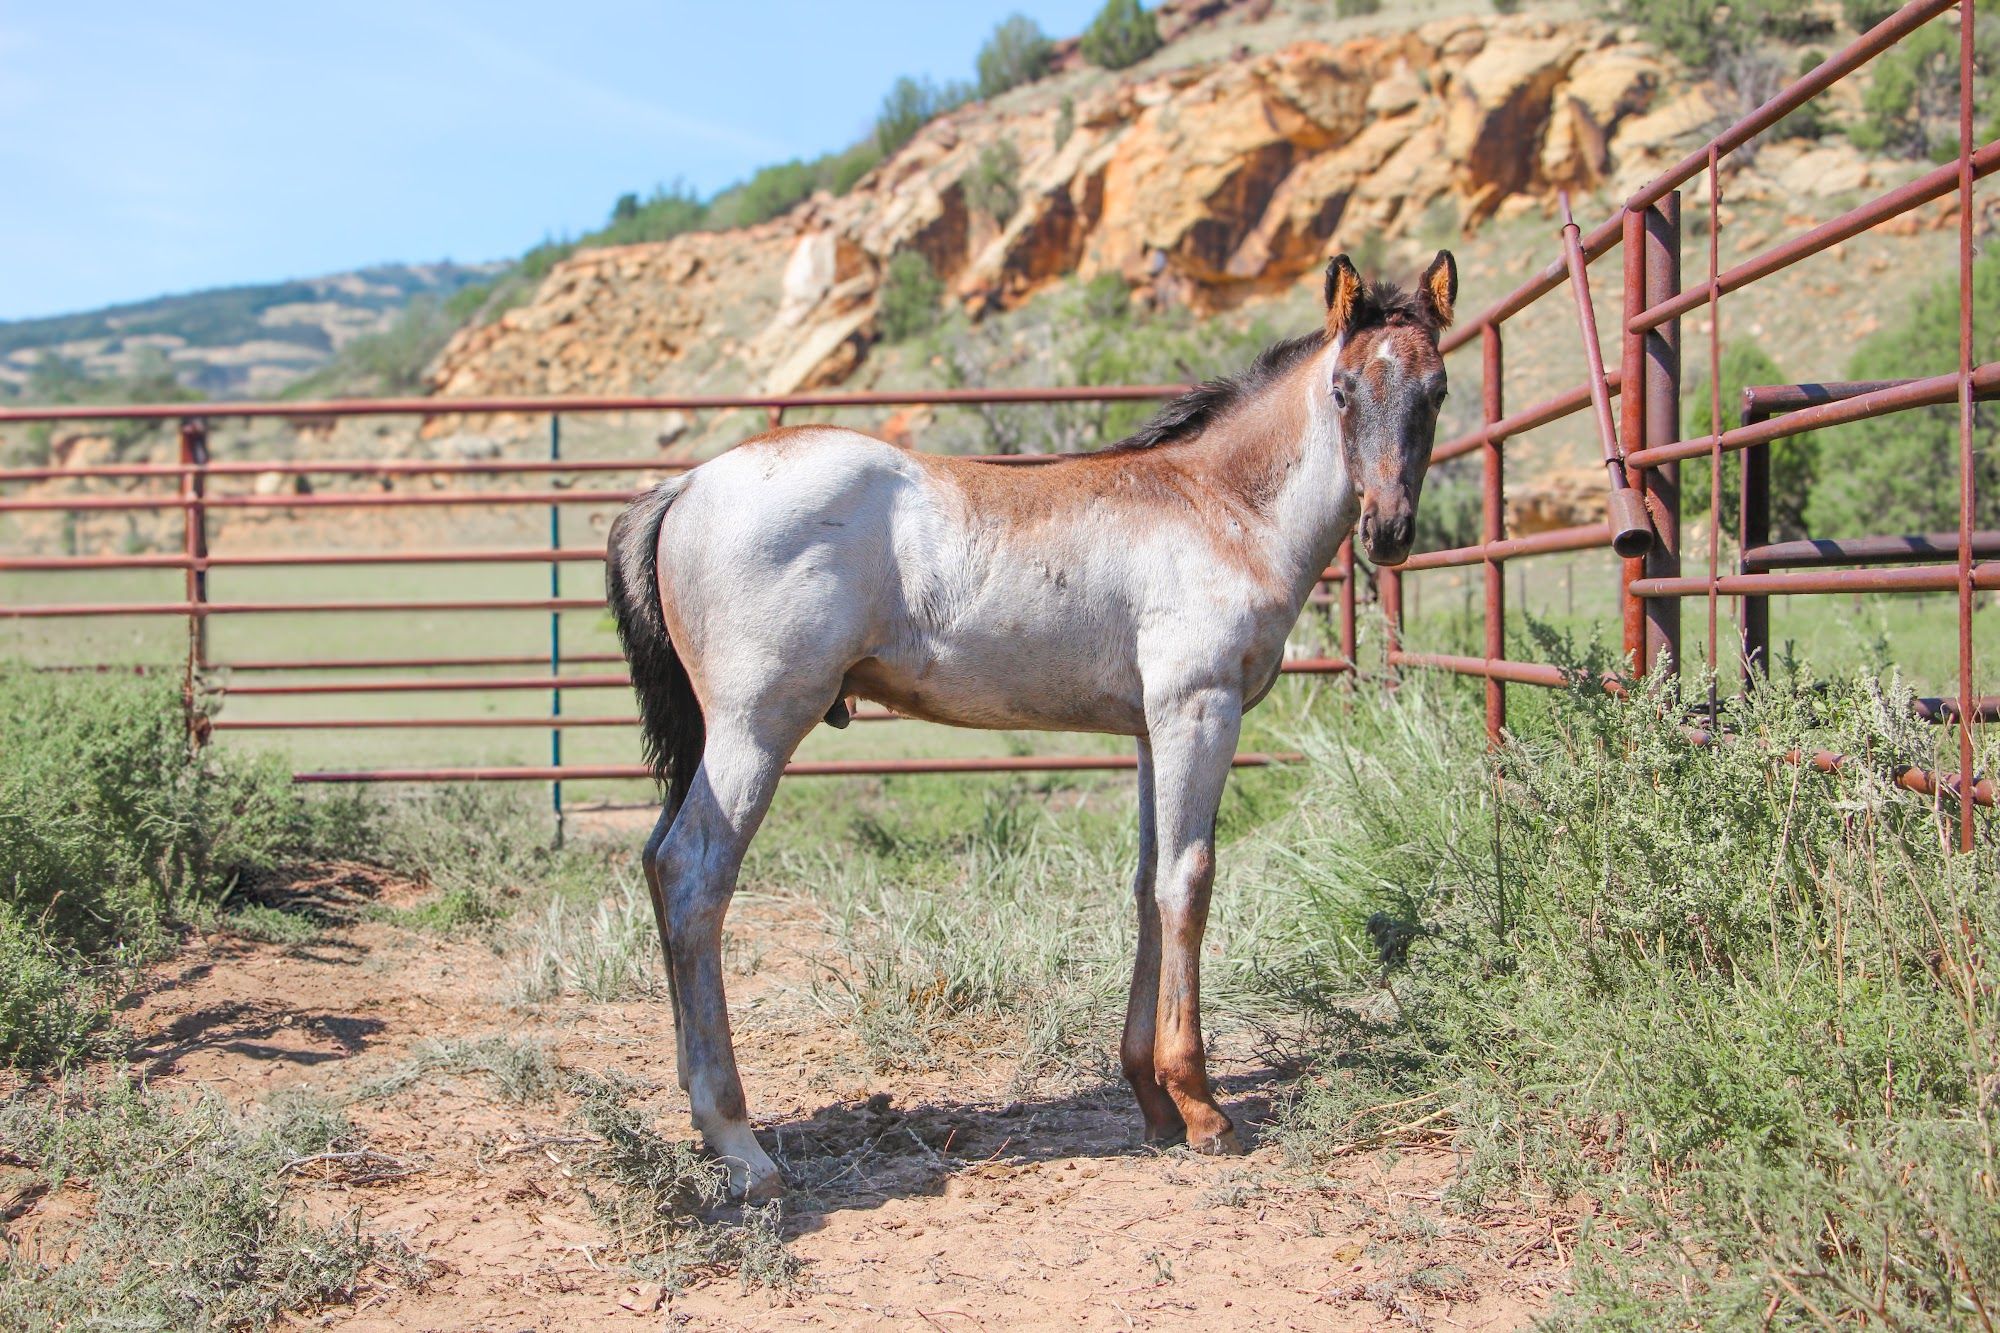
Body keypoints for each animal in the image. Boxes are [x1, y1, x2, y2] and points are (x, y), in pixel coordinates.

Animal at [604, 250, 1457, 1200]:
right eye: (1342, 390)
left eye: (1436, 389)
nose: (1390, 530)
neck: (1220, 506)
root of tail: (686, 484)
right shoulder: (1199, 709)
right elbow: (1188, 883)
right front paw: (1202, 1108)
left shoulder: (1150, 729)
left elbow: (1148, 886)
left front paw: (1152, 1103)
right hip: (757, 726)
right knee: (693, 875)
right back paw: (739, 1143)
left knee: (659, 866)